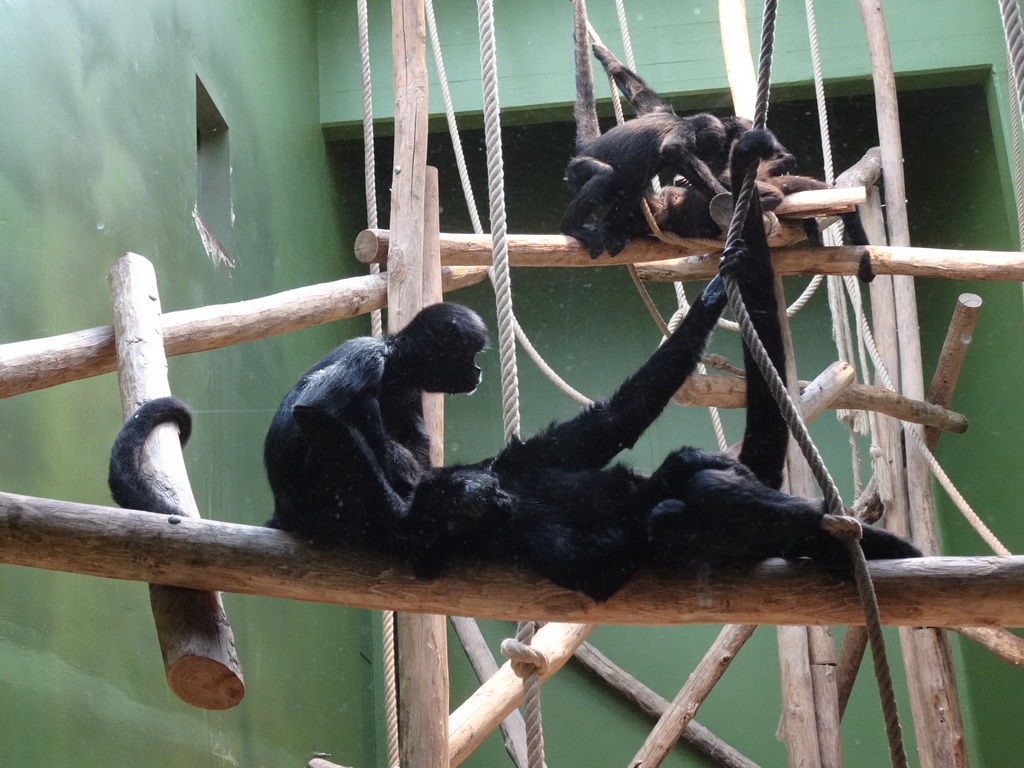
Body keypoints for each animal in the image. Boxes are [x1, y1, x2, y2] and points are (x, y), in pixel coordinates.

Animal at [561, 0, 798, 259]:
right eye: (713, 151)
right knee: (605, 175)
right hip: (576, 171)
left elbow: (641, 96)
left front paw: (608, 59)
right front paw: (720, 192)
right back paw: (572, 227)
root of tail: (588, 146)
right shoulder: (683, 130)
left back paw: (609, 229)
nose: (716, 157)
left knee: (631, 187)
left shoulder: (660, 109)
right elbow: (673, 149)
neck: (686, 121)